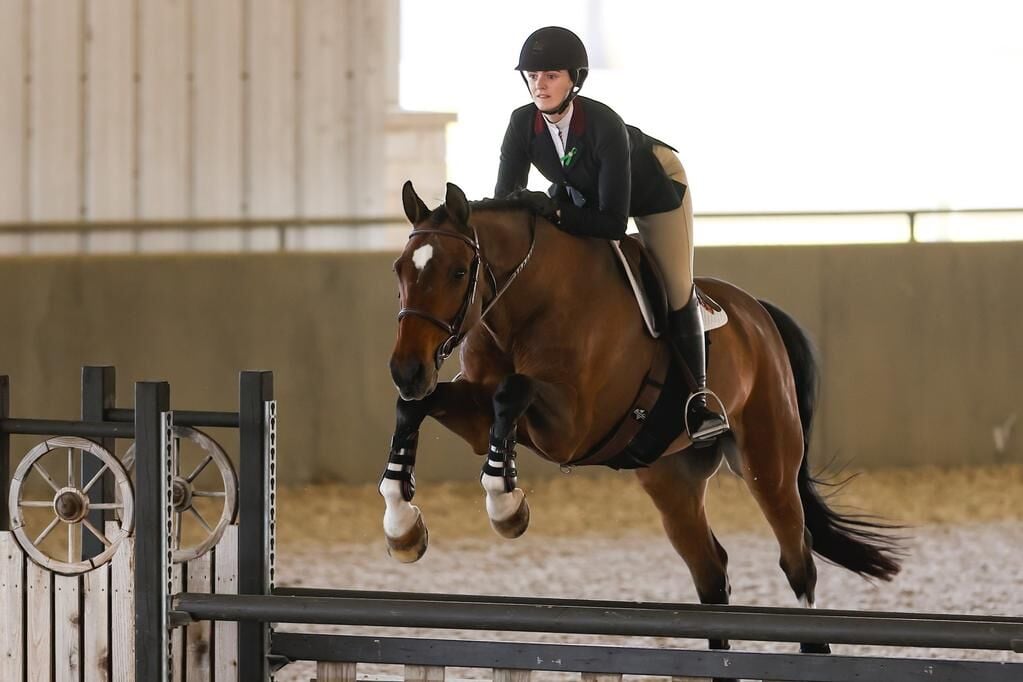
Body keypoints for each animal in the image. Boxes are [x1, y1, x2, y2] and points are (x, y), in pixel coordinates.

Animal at [384, 180, 904, 662]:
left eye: (457, 272)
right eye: (400, 269)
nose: (407, 371)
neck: (523, 304)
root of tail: (759, 315)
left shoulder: (570, 427)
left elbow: (511, 393)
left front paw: (506, 506)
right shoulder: (476, 416)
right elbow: (420, 407)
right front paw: (402, 524)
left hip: (768, 463)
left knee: (798, 559)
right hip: (670, 478)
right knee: (711, 574)